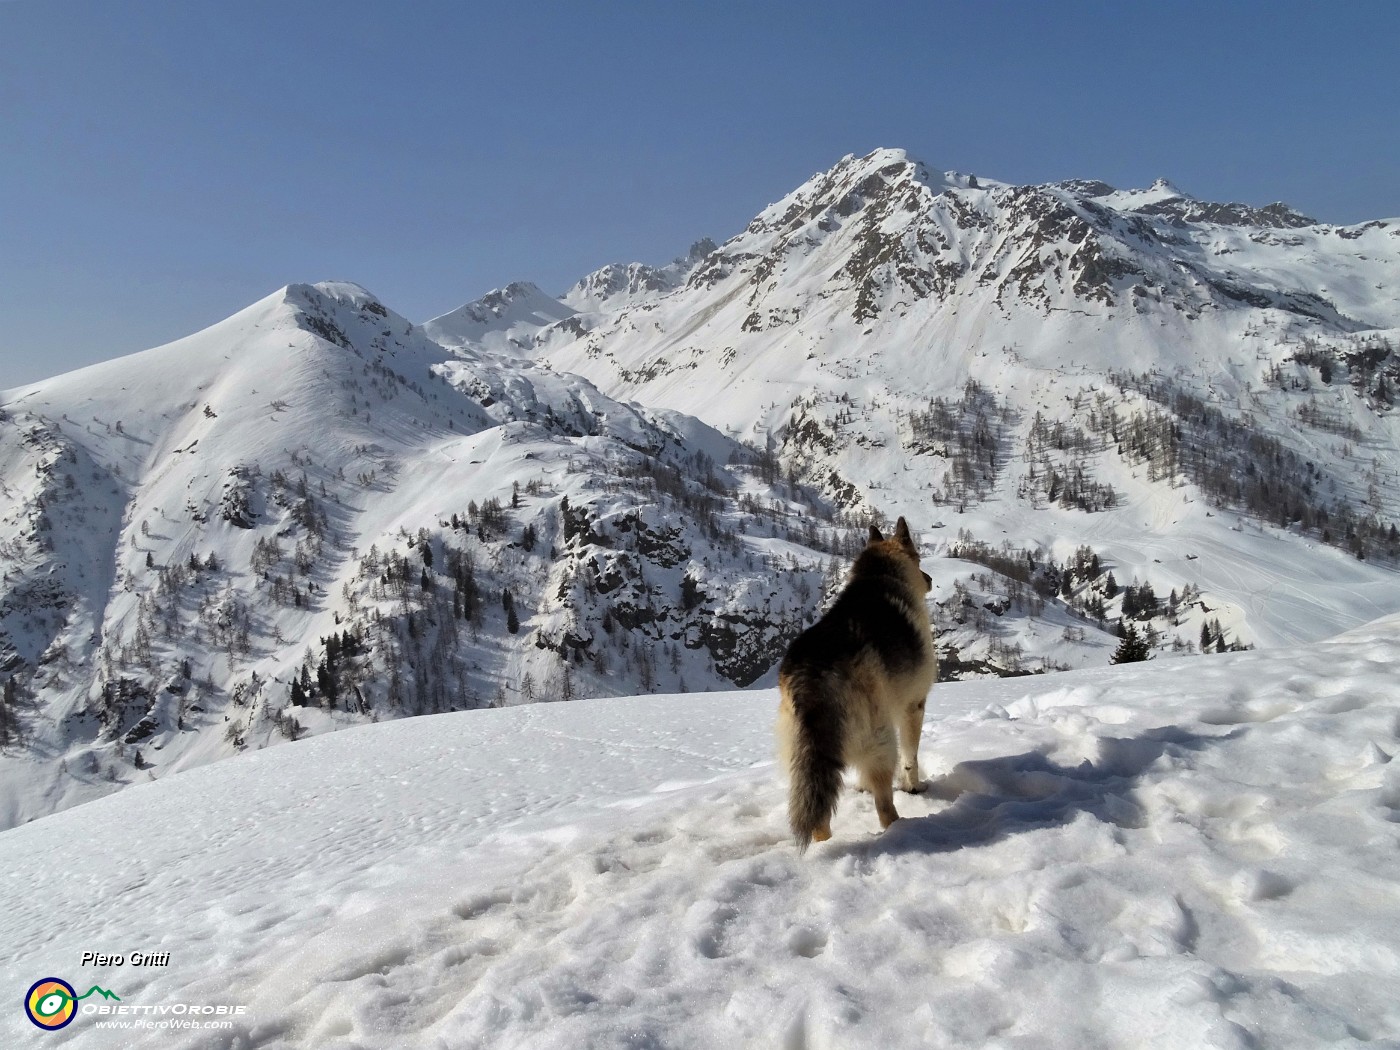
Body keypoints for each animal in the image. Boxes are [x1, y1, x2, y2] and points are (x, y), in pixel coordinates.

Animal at [778, 518, 940, 856]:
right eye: (919, 561)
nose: (930, 579)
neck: (879, 577)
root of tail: (812, 672)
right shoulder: (913, 706)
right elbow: (911, 758)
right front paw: (914, 787)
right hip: (881, 739)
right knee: (884, 809)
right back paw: (904, 828)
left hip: (804, 757)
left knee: (819, 814)